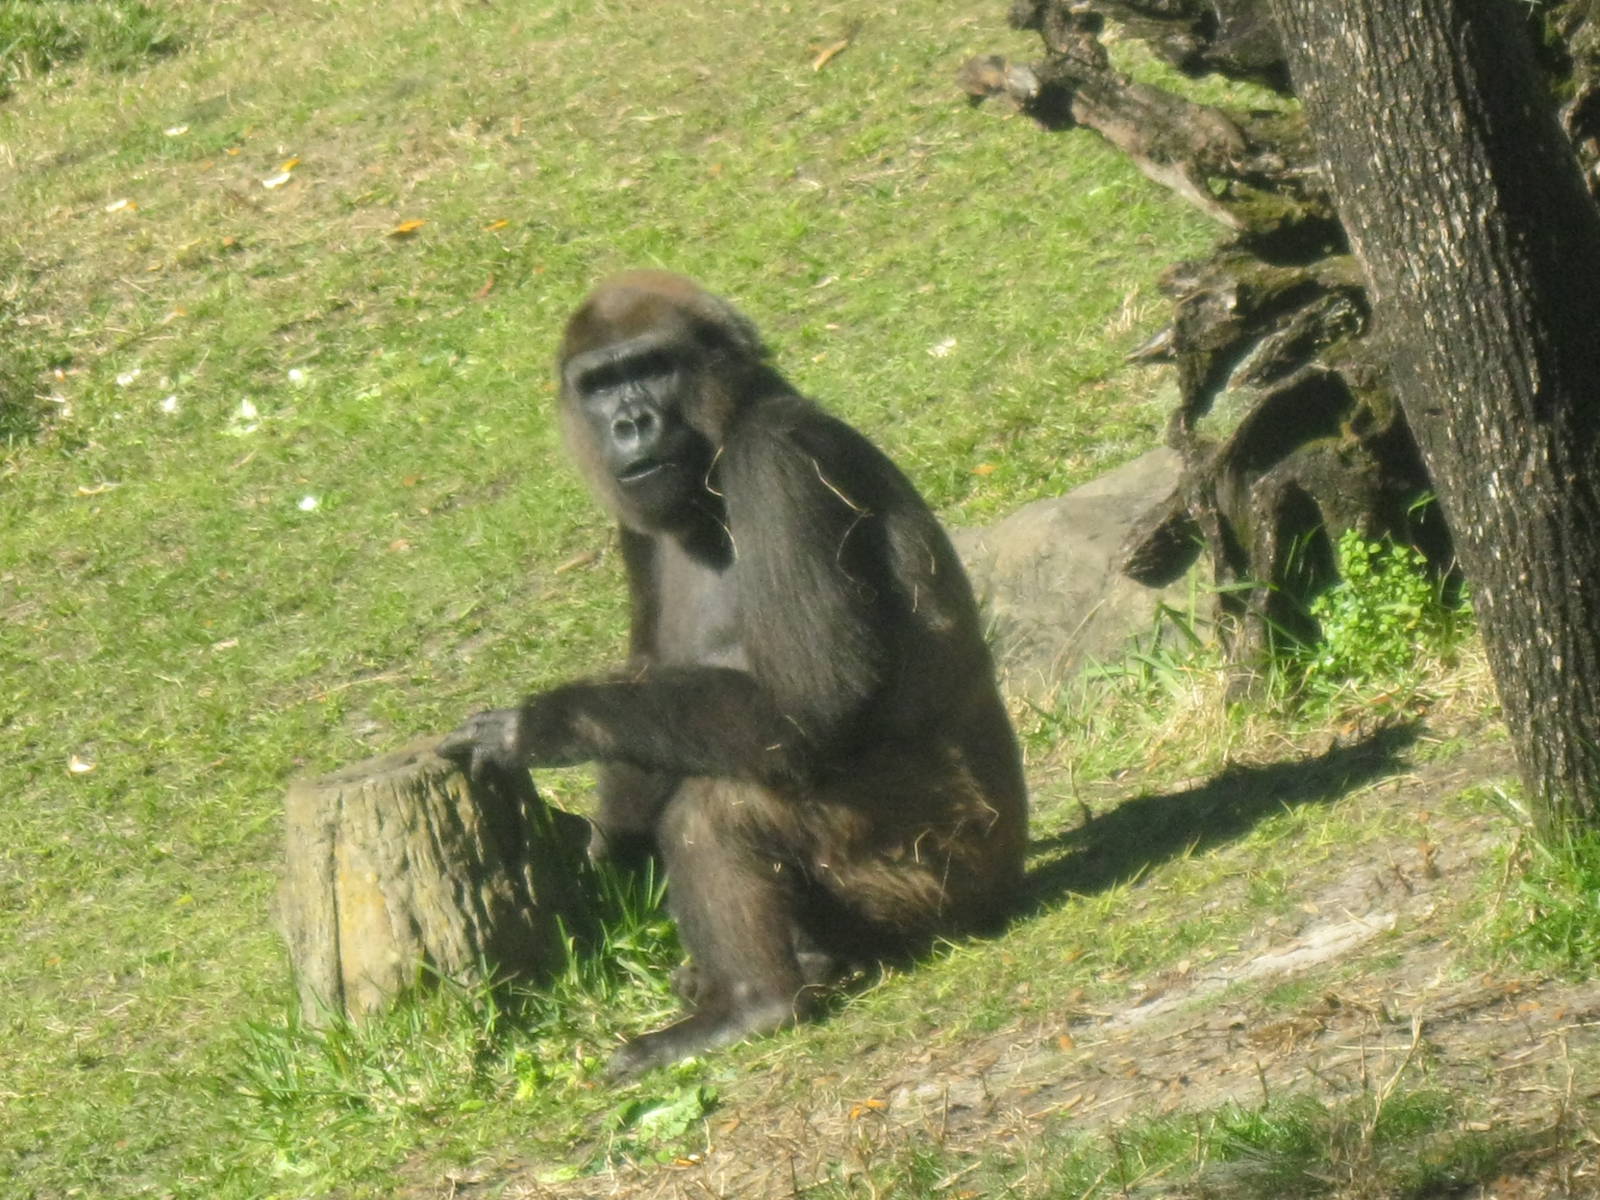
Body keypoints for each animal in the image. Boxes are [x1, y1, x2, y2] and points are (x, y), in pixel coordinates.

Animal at [440, 271, 1026, 1076]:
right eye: (599, 384)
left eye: (652, 366)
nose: (630, 423)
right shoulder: (636, 519)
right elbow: (647, 702)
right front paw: (610, 852)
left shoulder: (775, 459)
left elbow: (808, 705)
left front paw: (542, 724)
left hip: (939, 876)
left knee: (722, 799)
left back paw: (754, 1003)